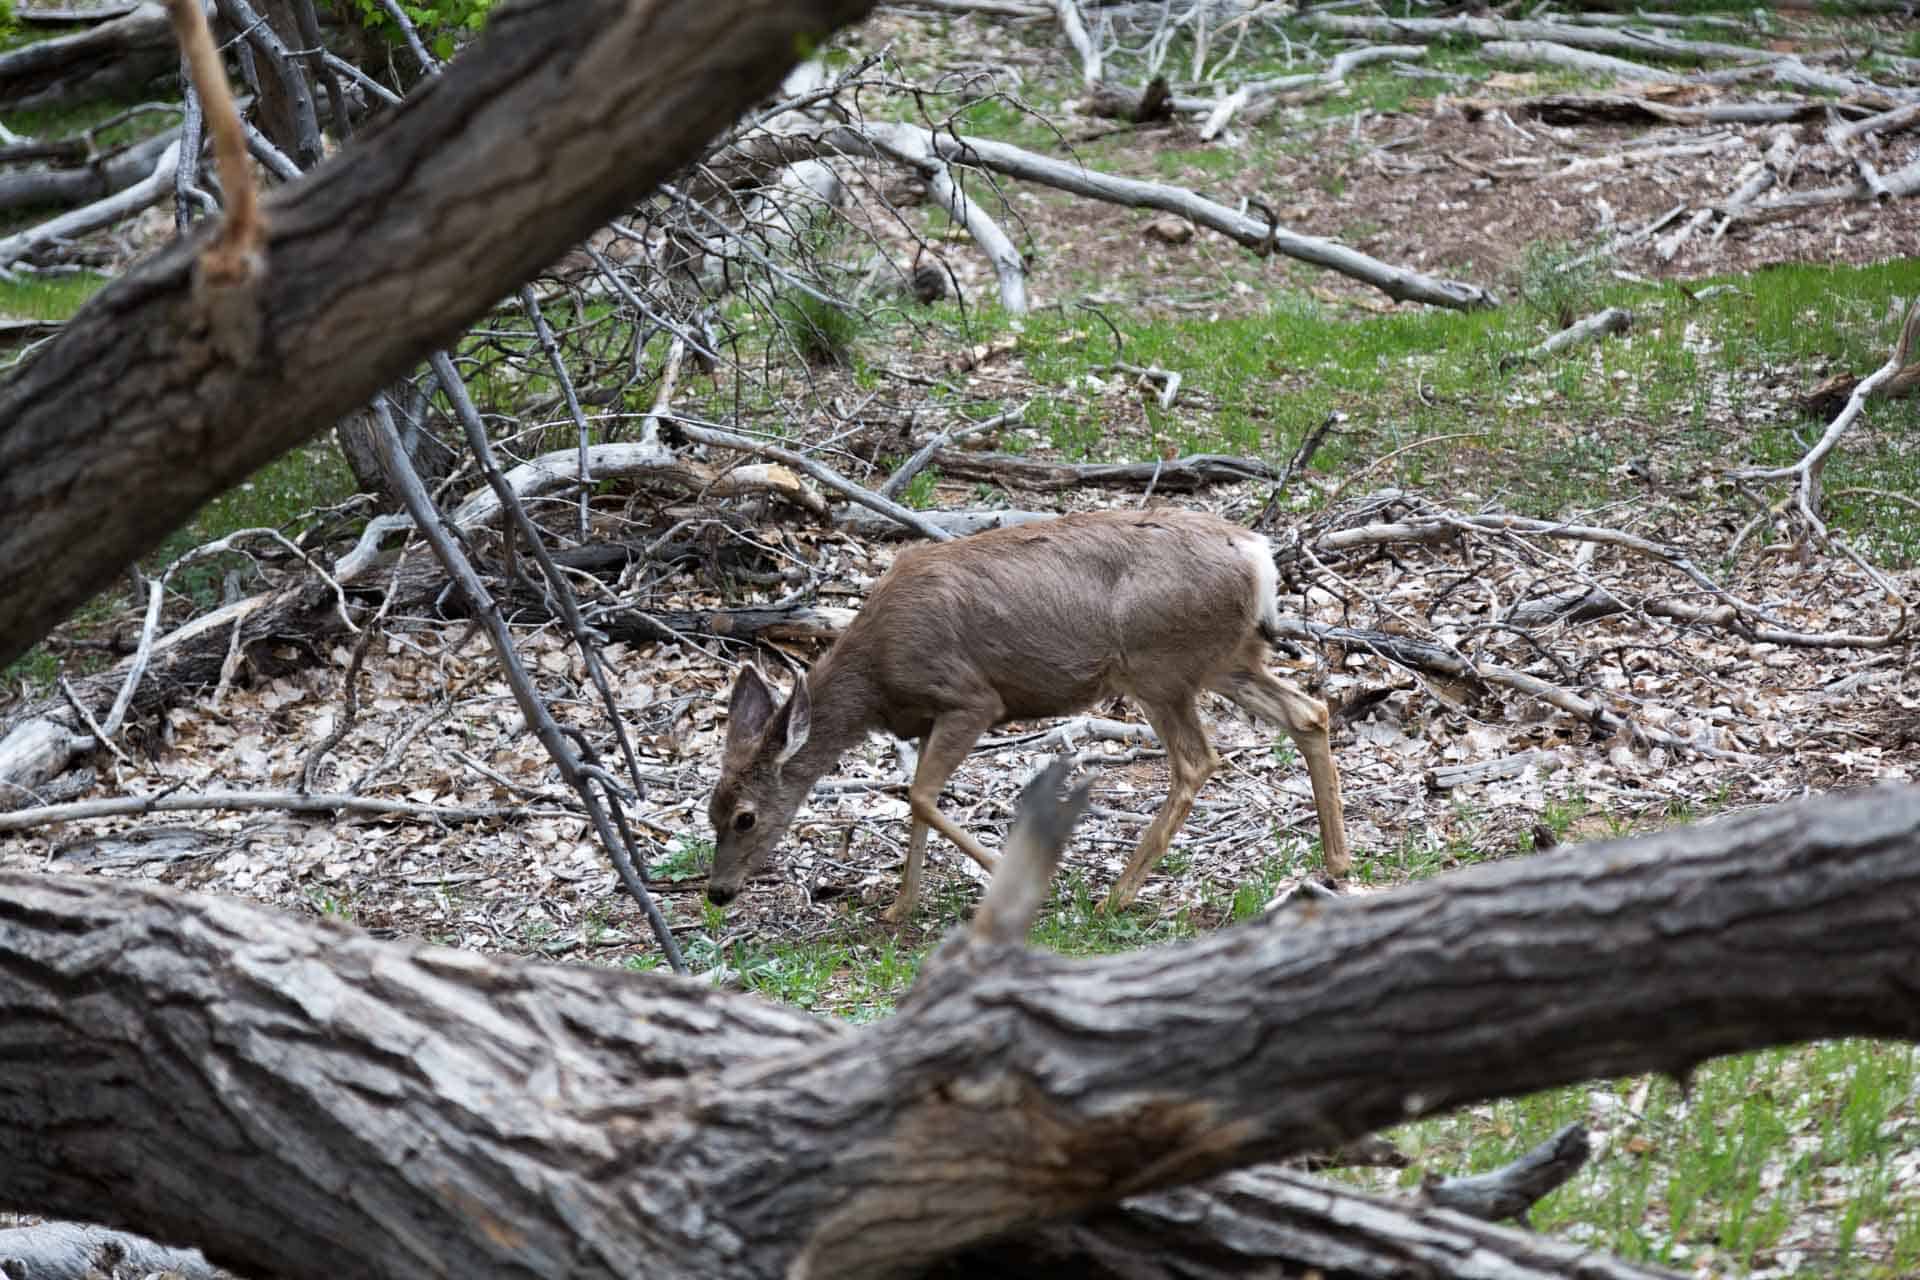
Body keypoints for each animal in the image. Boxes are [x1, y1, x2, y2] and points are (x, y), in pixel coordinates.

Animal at [706, 506, 1351, 921]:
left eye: (744, 818)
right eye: (711, 813)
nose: (717, 893)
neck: (877, 680)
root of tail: (1259, 558)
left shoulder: (969, 697)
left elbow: (919, 796)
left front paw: (1015, 873)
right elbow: (916, 801)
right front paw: (898, 908)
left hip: (1157, 665)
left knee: (1196, 760)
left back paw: (1115, 895)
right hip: (1224, 660)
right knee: (1310, 711)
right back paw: (1337, 865)